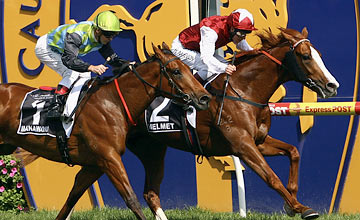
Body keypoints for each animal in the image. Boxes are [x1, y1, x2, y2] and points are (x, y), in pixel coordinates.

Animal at [0, 43, 211, 220]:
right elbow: (132, 199)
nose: (204, 98)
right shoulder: (109, 157)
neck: (113, 102)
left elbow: (72, 197)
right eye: (176, 71)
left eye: (188, 69)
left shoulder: (94, 164)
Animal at [125, 28, 338, 219]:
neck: (244, 91)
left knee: (151, 193)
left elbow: (293, 152)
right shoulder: (243, 145)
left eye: (319, 55)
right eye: (306, 56)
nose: (332, 86)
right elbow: (271, 177)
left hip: (152, 149)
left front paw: (290, 203)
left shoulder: (259, 141)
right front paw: (301, 208)